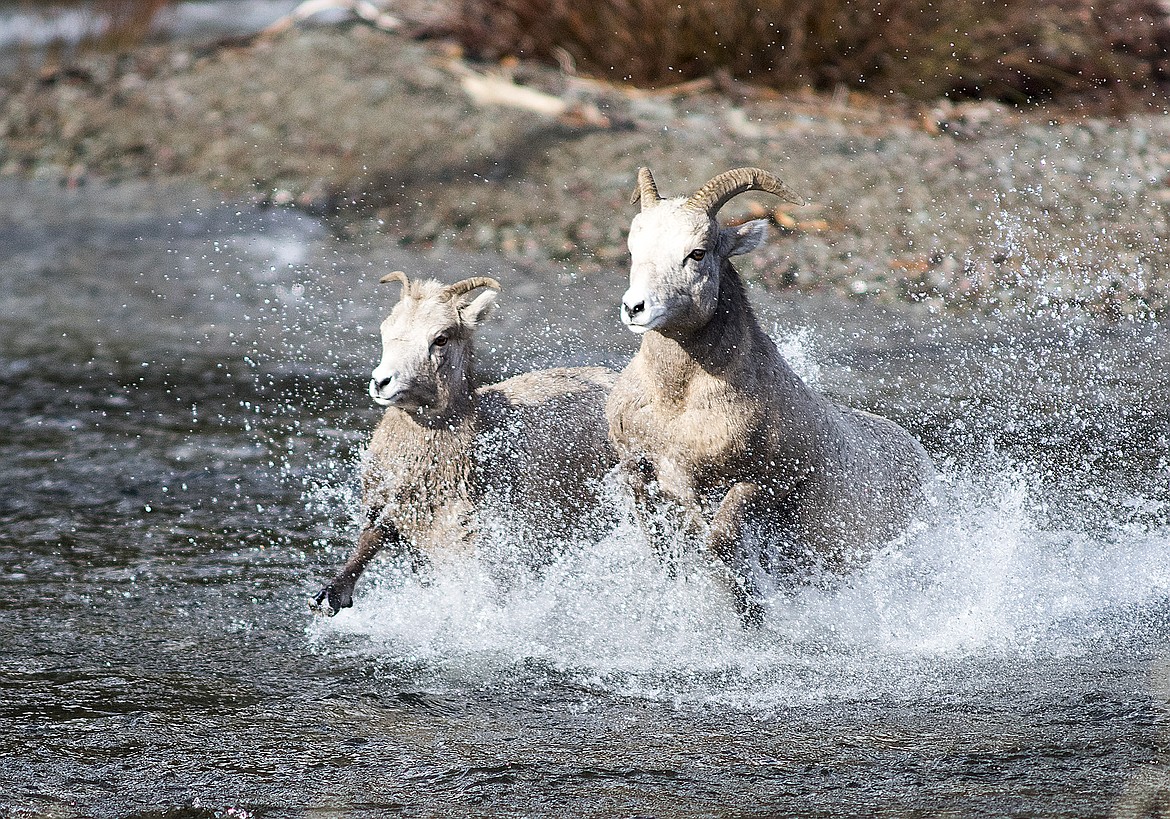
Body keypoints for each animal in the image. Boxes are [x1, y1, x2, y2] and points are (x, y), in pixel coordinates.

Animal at [608, 166, 935, 627]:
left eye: (697, 253)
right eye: (634, 249)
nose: (635, 308)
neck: (678, 405)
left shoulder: (763, 482)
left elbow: (717, 541)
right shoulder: (640, 466)